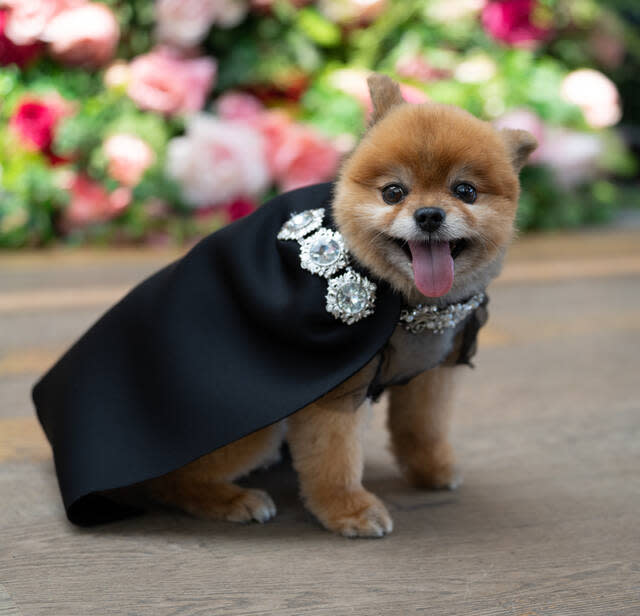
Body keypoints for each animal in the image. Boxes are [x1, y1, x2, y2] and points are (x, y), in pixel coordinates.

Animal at [142, 73, 536, 540]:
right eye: (393, 193)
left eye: (466, 191)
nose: (428, 214)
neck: (409, 306)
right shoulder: (332, 394)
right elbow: (333, 457)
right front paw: (347, 508)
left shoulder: (431, 372)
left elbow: (421, 426)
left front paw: (430, 468)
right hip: (255, 432)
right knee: (168, 482)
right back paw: (232, 500)